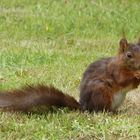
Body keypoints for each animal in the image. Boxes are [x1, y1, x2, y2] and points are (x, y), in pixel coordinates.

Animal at [0, 37, 140, 112]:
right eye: (129, 55)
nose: (139, 65)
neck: (122, 64)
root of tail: (84, 107)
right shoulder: (115, 71)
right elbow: (122, 80)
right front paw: (137, 74)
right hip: (101, 92)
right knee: (100, 110)